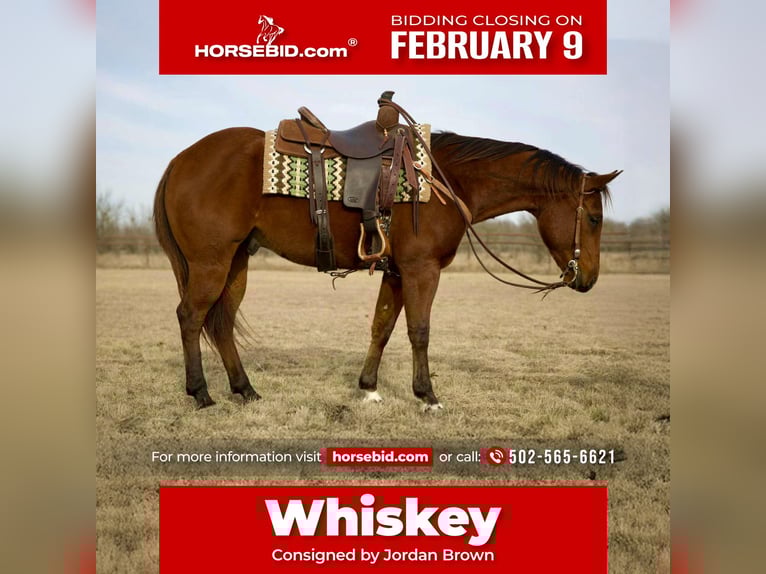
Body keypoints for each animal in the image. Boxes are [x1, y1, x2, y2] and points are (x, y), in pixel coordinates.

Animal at [153, 126, 621, 411]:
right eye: (595, 219)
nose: (588, 279)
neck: (446, 180)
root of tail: (180, 159)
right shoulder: (421, 270)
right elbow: (419, 331)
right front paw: (427, 395)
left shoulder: (396, 272)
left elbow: (382, 326)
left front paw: (369, 388)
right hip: (210, 263)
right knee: (190, 317)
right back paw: (201, 393)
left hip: (236, 264)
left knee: (221, 324)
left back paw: (245, 389)